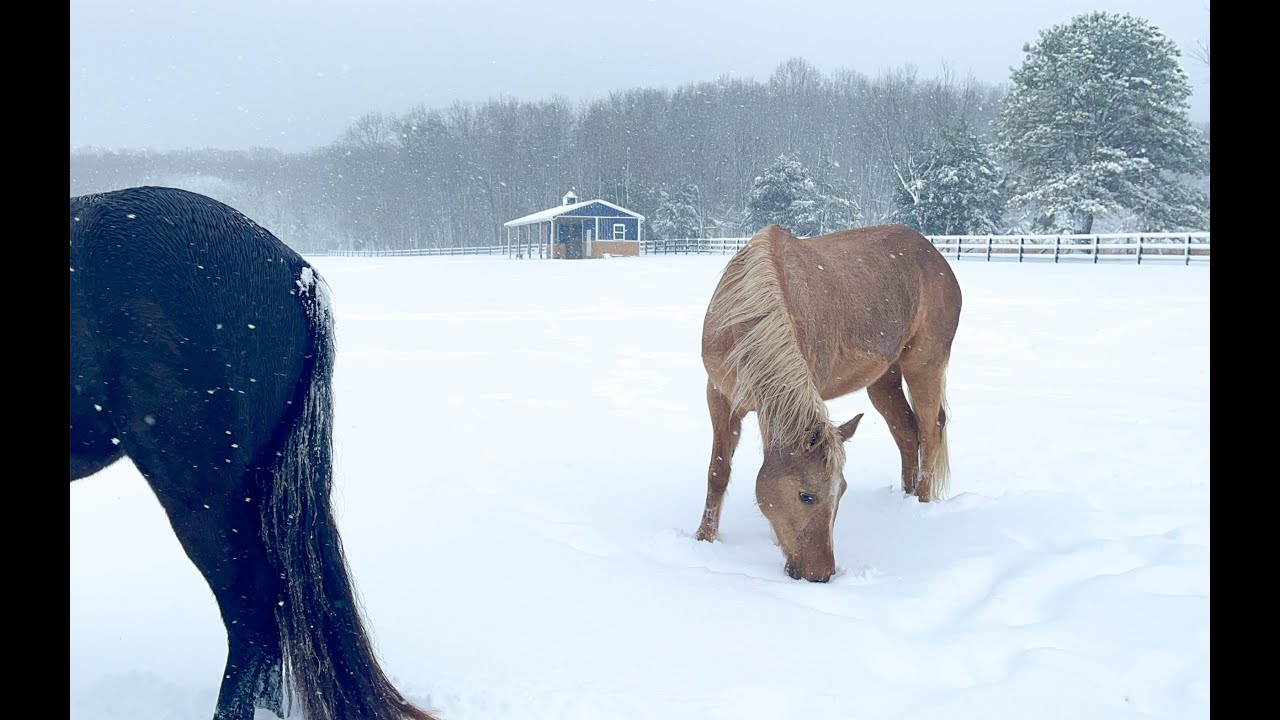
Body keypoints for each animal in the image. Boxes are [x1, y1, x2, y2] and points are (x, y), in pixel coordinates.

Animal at [696, 223, 962, 583]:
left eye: (843, 490)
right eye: (806, 496)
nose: (822, 574)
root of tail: (937, 257)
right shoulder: (720, 397)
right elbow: (718, 472)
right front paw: (704, 539)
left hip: (924, 365)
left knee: (930, 430)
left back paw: (919, 506)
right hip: (884, 379)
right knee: (907, 431)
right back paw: (905, 498)